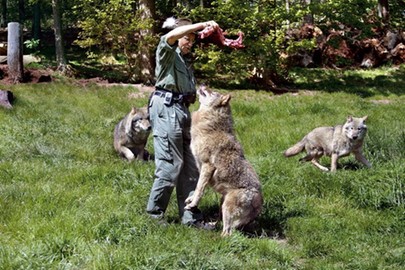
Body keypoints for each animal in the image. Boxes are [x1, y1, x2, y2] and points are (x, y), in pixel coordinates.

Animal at [185, 87, 264, 236]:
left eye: (212, 91)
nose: (202, 85)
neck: (212, 126)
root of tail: (259, 201)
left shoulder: (207, 166)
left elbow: (199, 189)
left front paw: (192, 204)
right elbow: (197, 187)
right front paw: (190, 199)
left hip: (226, 206)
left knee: (227, 233)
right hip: (222, 203)